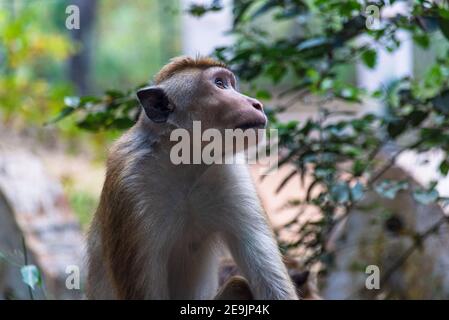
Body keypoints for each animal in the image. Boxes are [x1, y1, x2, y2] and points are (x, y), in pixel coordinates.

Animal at [86, 55, 298, 300]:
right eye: (219, 84)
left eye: (230, 84)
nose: (257, 104)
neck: (185, 163)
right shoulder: (129, 184)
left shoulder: (230, 173)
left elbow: (273, 285)